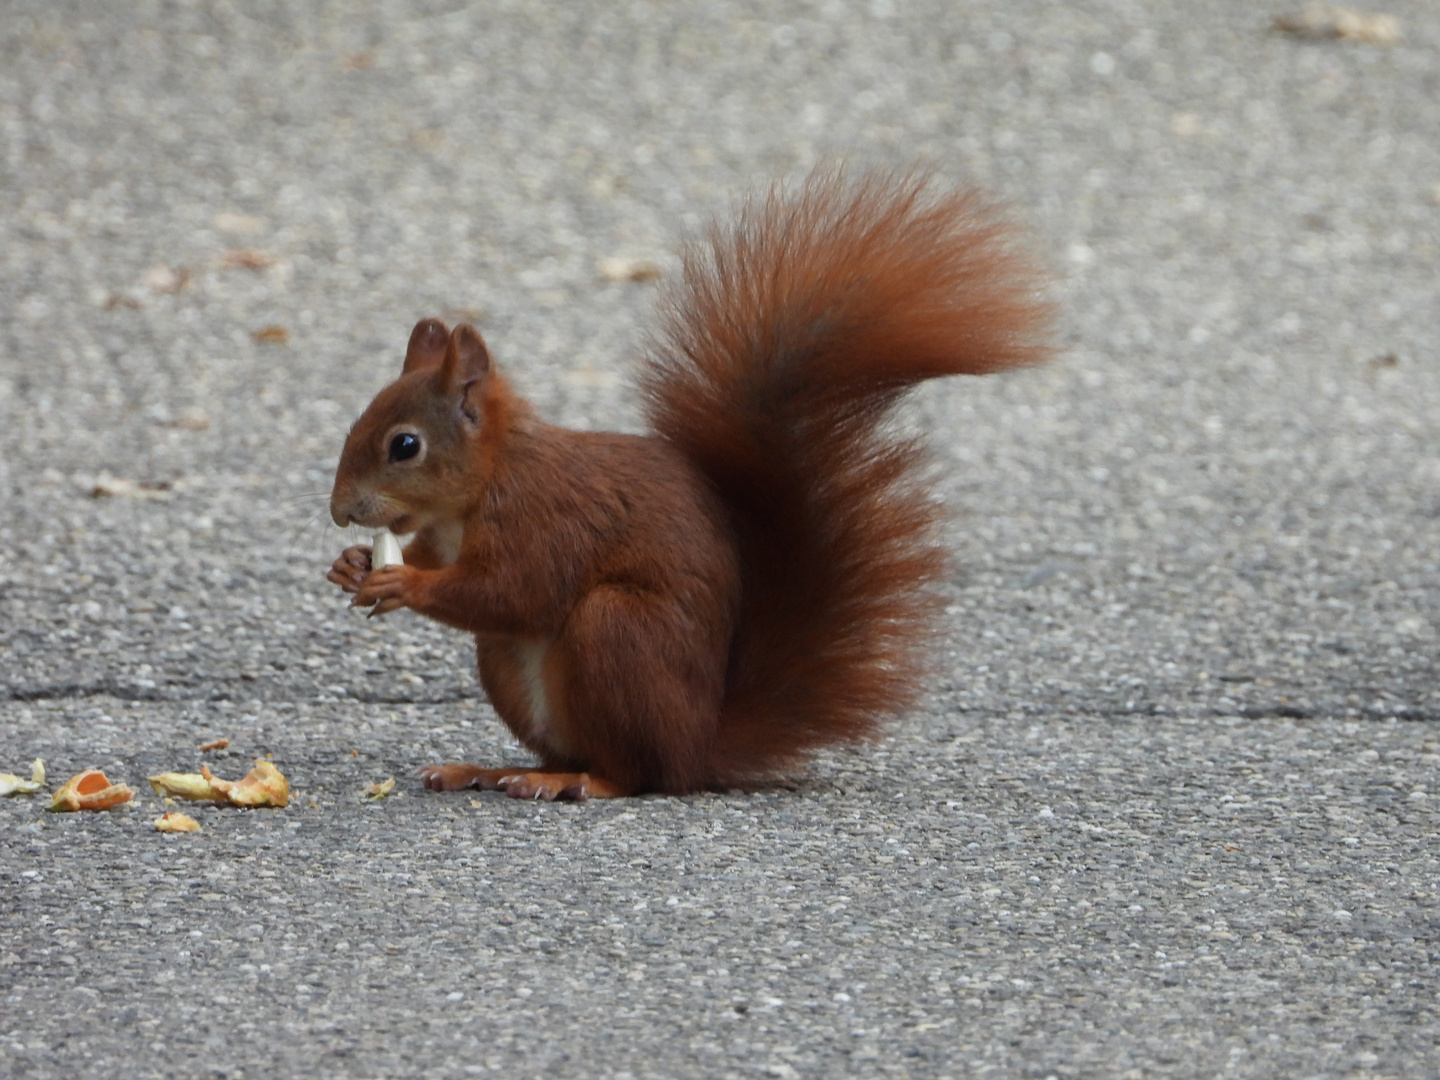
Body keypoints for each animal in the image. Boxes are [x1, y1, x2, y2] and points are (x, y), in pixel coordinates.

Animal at [326, 171, 1054, 806]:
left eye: (404, 446)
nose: (338, 513)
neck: (481, 489)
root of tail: (699, 743)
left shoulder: (547, 514)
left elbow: (517, 589)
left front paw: (402, 582)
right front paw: (355, 563)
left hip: (617, 633)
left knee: (637, 773)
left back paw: (580, 782)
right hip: (509, 666)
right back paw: (493, 769)